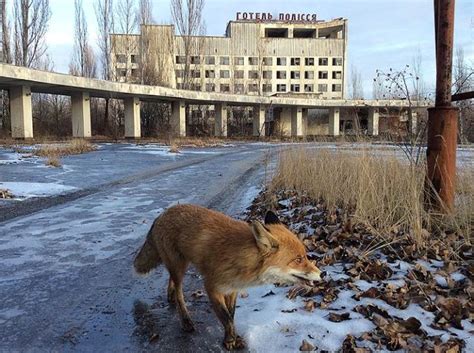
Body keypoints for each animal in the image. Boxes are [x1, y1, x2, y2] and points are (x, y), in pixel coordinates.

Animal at [135, 204, 324, 350]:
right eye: (298, 260)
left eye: (305, 256)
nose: (323, 273)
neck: (241, 259)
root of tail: (162, 214)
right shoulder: (212, 287)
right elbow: (225, 316)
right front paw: (229, 340)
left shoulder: (232, 288)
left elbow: (232, 315)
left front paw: (235, 337)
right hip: (179, 266)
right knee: (180, 292)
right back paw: (186, 320)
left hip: (180, 265)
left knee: (171, 280)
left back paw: (170, 295)